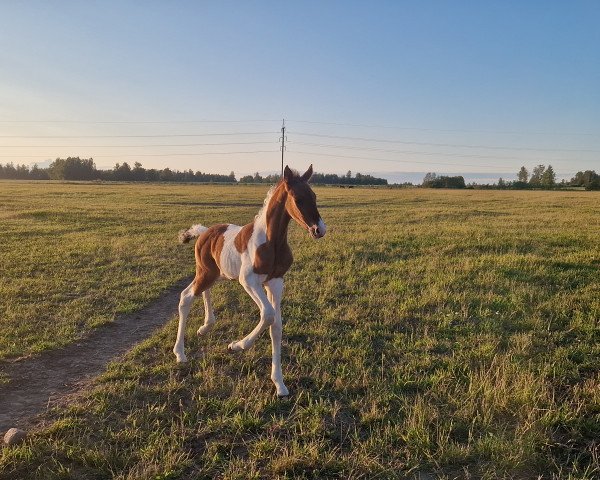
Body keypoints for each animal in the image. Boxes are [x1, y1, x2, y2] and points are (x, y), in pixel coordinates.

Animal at [173, 163, 326, 396]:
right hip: (207, 273)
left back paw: (206, 326)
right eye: (298, 199)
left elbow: (276, 327)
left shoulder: (276, 282)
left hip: (216, 274)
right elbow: (268, 315)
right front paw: (237, 346)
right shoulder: (249, 281)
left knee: (202, 291)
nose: (319, 230)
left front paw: (279, 383)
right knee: (186, 297)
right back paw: (180, 353)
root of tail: (204, 232)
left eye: (315, 196)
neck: (271, 242)